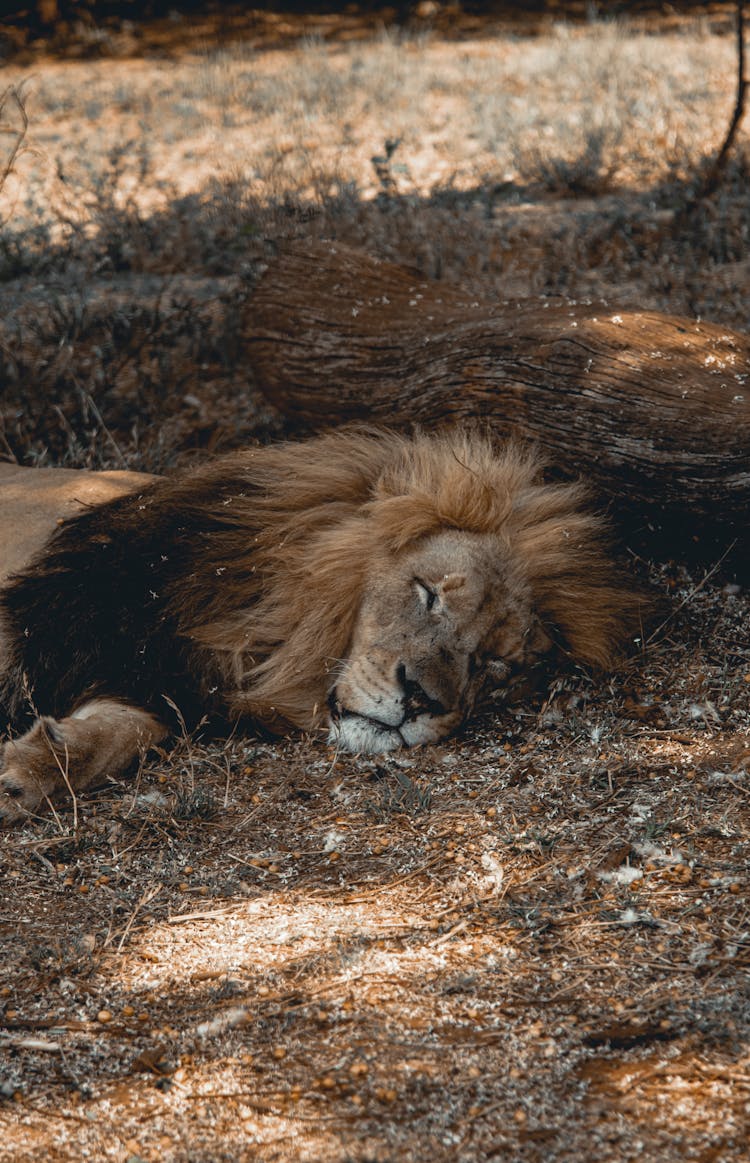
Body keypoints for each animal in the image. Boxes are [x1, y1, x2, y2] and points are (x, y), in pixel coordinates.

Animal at [0, 430, 637, 828]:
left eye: (496, 663)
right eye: (428, 593)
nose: (420, 700)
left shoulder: (163, 684)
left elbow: (120, 732)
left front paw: (27, 773)